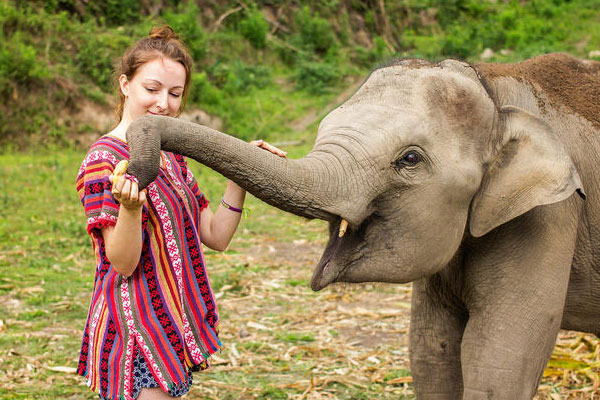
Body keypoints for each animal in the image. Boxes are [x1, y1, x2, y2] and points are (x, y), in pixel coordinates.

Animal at [124, 51, 596, 398]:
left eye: (410, 159)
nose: (137, 171)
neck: (495, 89)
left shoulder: (548, 216)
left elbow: (499, 356)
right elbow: (431, 351)